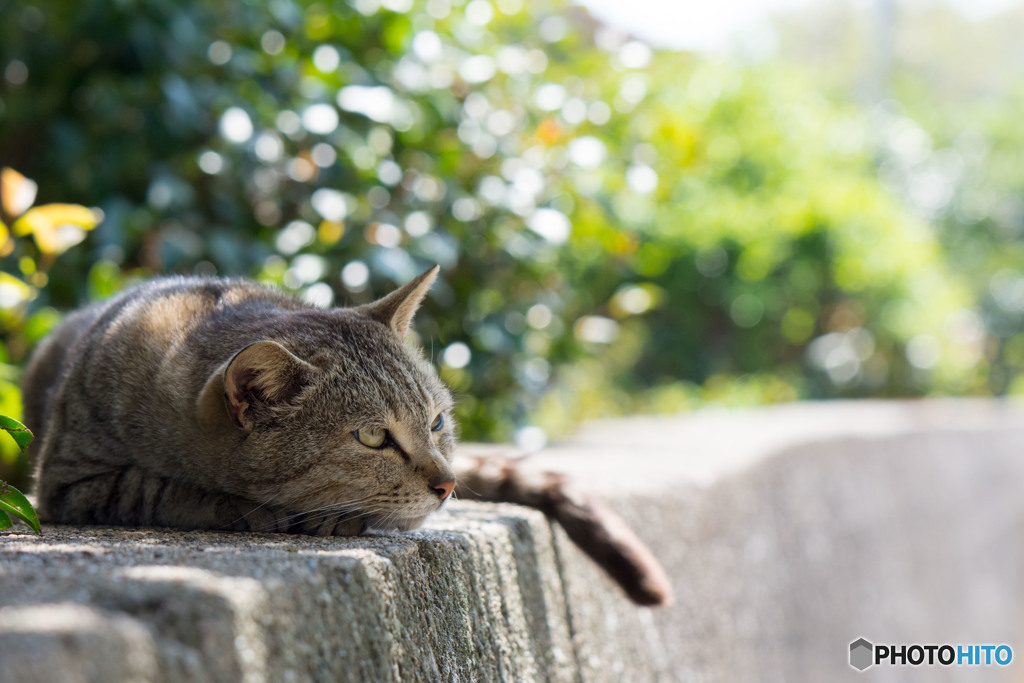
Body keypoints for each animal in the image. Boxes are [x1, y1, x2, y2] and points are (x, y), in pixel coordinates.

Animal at [19, 266, 671, 602]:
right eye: (375, 438)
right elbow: (163, 487)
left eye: (437, 422)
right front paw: (254, 508)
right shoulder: (71, 481)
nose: (448, 484)